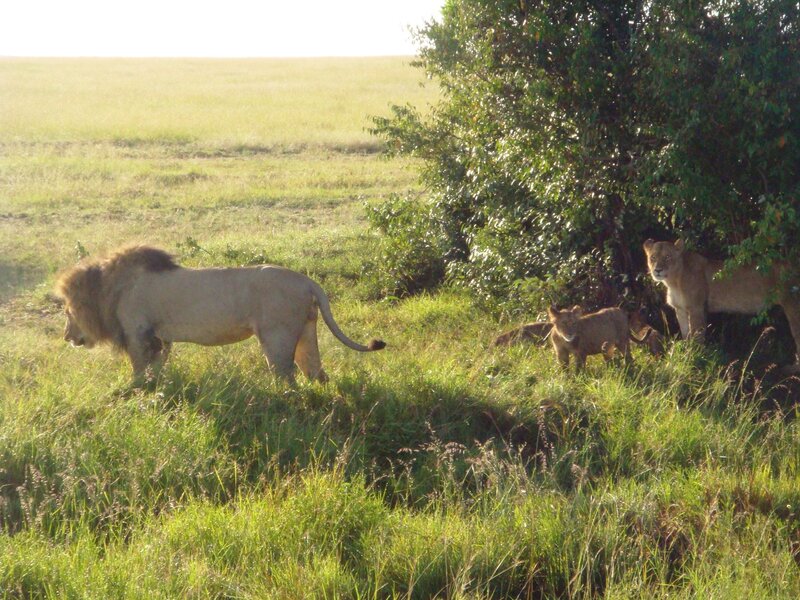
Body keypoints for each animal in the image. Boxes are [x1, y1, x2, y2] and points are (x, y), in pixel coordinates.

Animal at [55, 245, 386, 383]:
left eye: (68, 311)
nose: (66, 336)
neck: (108, 288)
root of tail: (308, 281)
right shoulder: (159, 337)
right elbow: (156, 368)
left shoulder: (138, 333)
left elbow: (139, 369)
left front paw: (134, 391)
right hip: (305, 331)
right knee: (316, 373)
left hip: (276, 336)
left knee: (286, 376)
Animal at [643, 239, 800, 371]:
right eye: (653, 258)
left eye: (667, 257)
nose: (657, 270)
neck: (674, 280)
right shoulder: (680, 310)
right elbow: (686, 334)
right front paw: (686, 355)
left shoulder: (696, 308)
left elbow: (697, 337)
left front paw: (694, 360)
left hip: (792, 305)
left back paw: (794, 368)